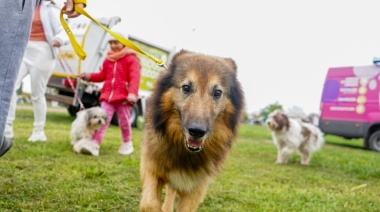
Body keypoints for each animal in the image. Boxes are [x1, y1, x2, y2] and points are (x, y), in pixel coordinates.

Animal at [141, 50, 245, 212]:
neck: (184, 151)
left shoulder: (195, 188)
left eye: (217, 92)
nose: (197, 131)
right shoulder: (151, 168)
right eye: (186, 88)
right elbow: (149, 204)